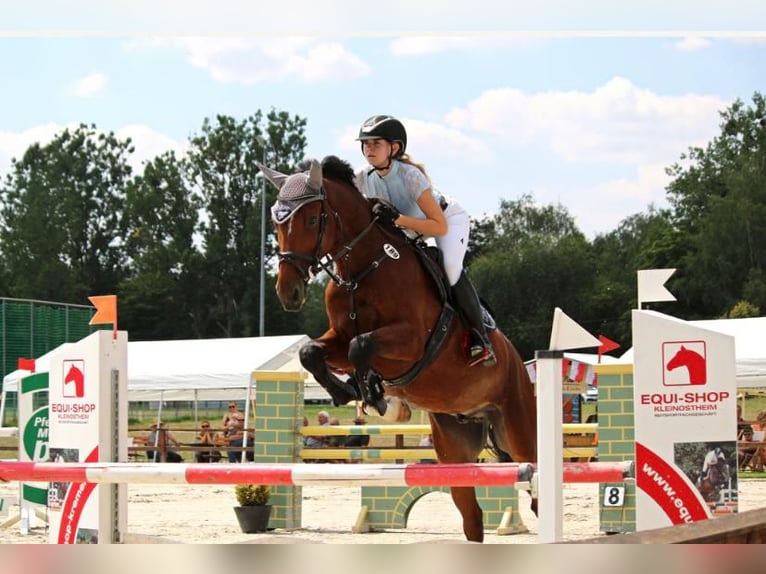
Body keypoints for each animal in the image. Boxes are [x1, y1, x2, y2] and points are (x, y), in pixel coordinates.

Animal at [264, 155, 540, 544]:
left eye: (313, 220)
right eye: (277, 222)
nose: (288, 293)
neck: (361, 271)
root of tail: (519, 363)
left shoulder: (412, 342)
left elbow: (361, 345)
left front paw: (377, 398)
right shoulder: (337, 336)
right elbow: (313, 353)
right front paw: (351, 391)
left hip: (520, 429)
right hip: (455, 450)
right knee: (472, 517)